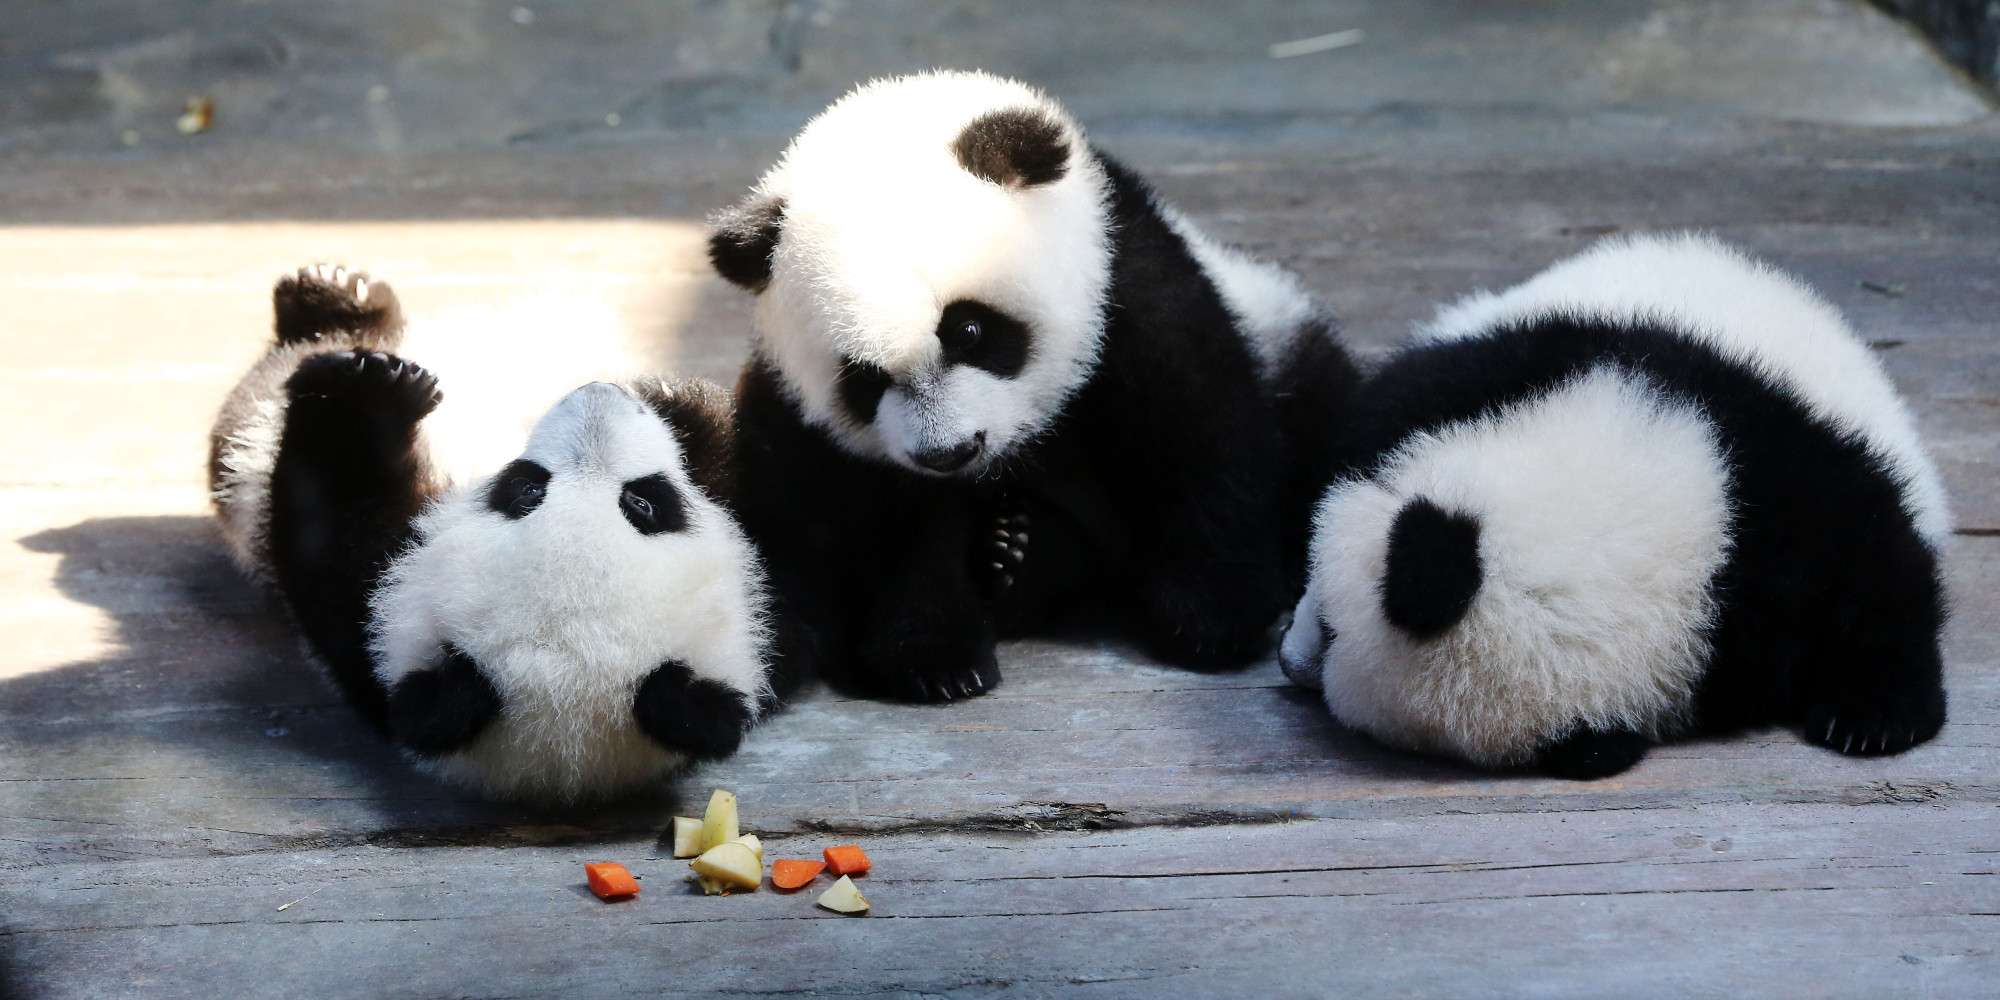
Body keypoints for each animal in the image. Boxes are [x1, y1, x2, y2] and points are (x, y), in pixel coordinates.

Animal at [704, 68, 1360, 704]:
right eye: (863, 377)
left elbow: (1194, 418)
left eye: (967, 330)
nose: (948, 453)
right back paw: (1007, 552)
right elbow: (882, 525)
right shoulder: (806, 425)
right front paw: (936, 658)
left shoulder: (1124, 278)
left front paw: (1211, 617)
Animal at [1280, 236, 1952, 780]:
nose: (1290, 663)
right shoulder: (1525, 364)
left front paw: (1871, 716)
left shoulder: (1778, 493)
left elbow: (1873, 566)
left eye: (1334, 634)